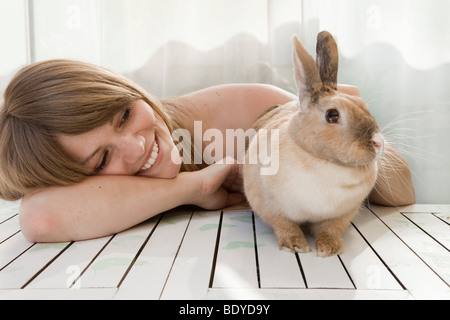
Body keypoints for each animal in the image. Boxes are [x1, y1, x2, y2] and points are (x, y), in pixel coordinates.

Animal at [243, 31, 384, 258]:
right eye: (332, 115)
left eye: (362, 105)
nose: (378, 142)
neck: (322, 161)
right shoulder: (269, 206)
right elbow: (285, 225)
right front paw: (296, 246)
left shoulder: (342, 214)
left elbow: (331, 229)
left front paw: (329, 249)